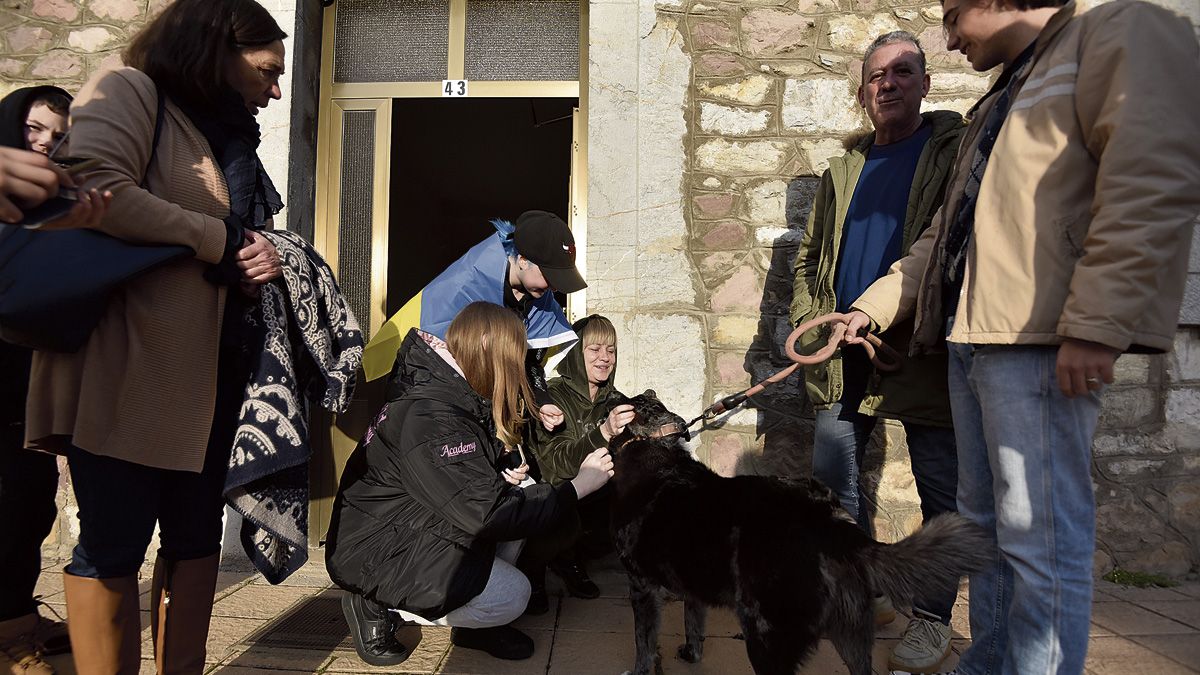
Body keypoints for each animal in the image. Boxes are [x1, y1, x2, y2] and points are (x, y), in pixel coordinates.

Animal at [614, 391, 988, 667]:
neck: (656, 448)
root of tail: (829, 521)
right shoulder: (691, 584)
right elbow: (693, 625)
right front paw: (691, 654)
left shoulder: (641, 585)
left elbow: (643, 646)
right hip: (851, 635)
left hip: (767, 635)